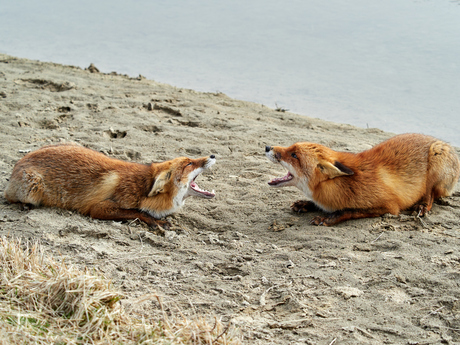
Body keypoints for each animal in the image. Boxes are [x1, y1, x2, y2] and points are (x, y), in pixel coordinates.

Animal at [266, 134, 460, 226]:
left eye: (294, 155)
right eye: (291, 148)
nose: (267, 147)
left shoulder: (389, 206)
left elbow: (349, 211)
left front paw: (328, 218)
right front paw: (306, 204)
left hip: (436, 159)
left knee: (430, 196)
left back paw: (421, 206)